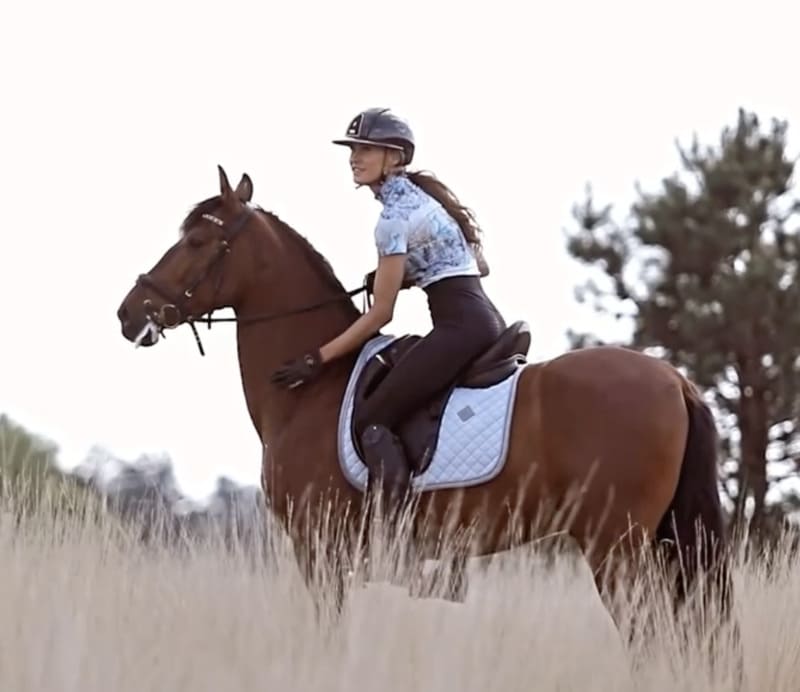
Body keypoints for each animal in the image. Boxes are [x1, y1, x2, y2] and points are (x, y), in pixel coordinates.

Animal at [115, 165, 734, 640]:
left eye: (196, 241)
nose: (128, 312)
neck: (312, 391)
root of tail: (675, 380)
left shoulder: (320, 553)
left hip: (617, 546)